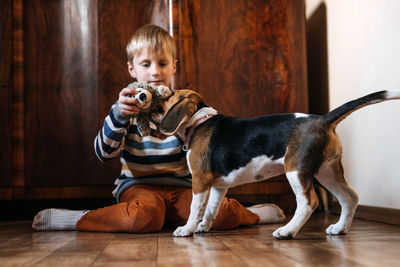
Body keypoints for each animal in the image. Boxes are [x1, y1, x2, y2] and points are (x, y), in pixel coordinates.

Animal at [152, 89, 398, 240]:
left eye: (169, 95)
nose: (153, 95)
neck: (199, 121)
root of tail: (322, 119)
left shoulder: (200, 180)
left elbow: (195, 208)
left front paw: (187, 229)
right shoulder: (219, 186)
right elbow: (211, 209)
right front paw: (203, 227)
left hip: (296, 170)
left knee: (309, 202)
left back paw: (287, 231)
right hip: (327, 172)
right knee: (350, 197)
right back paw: (339, 228)